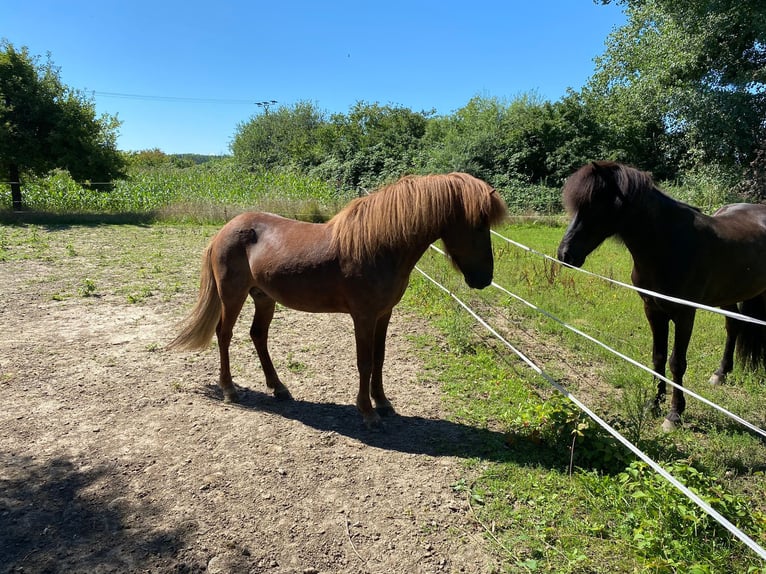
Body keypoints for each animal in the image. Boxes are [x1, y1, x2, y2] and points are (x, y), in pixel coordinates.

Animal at [168, 172, 508, 429]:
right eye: (478, 224)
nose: (484, 278)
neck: (380, 245)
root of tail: (224, 231)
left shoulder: (384, 314)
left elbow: (379, 359)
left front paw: (383, 403)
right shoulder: (364, 316)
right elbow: (364, 362)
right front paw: (368, 413)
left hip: (263, 298)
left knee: (258, 336)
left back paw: (279, 388)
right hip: (233, 295)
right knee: (224, 334)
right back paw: (229, 390)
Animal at [556, 161, 766, 431]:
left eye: (594, 205)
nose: (565, 255)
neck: (668, 245)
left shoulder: (685, 314)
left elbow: (677, 362)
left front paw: (674, 415)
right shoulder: (653, 310)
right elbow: (658, 357)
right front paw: (654, 404)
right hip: (728, 296)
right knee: (734, 326)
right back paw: (720, 374)